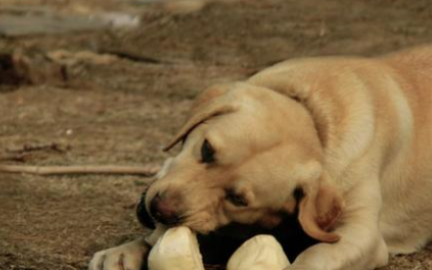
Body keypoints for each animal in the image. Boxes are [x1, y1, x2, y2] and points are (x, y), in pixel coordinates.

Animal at [88, 46, 432, 270]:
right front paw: (127, 250)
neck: (315, 118)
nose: (161, 209)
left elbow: (315, 257)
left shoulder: (362, 236)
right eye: (206, 149)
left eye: (238, 199)